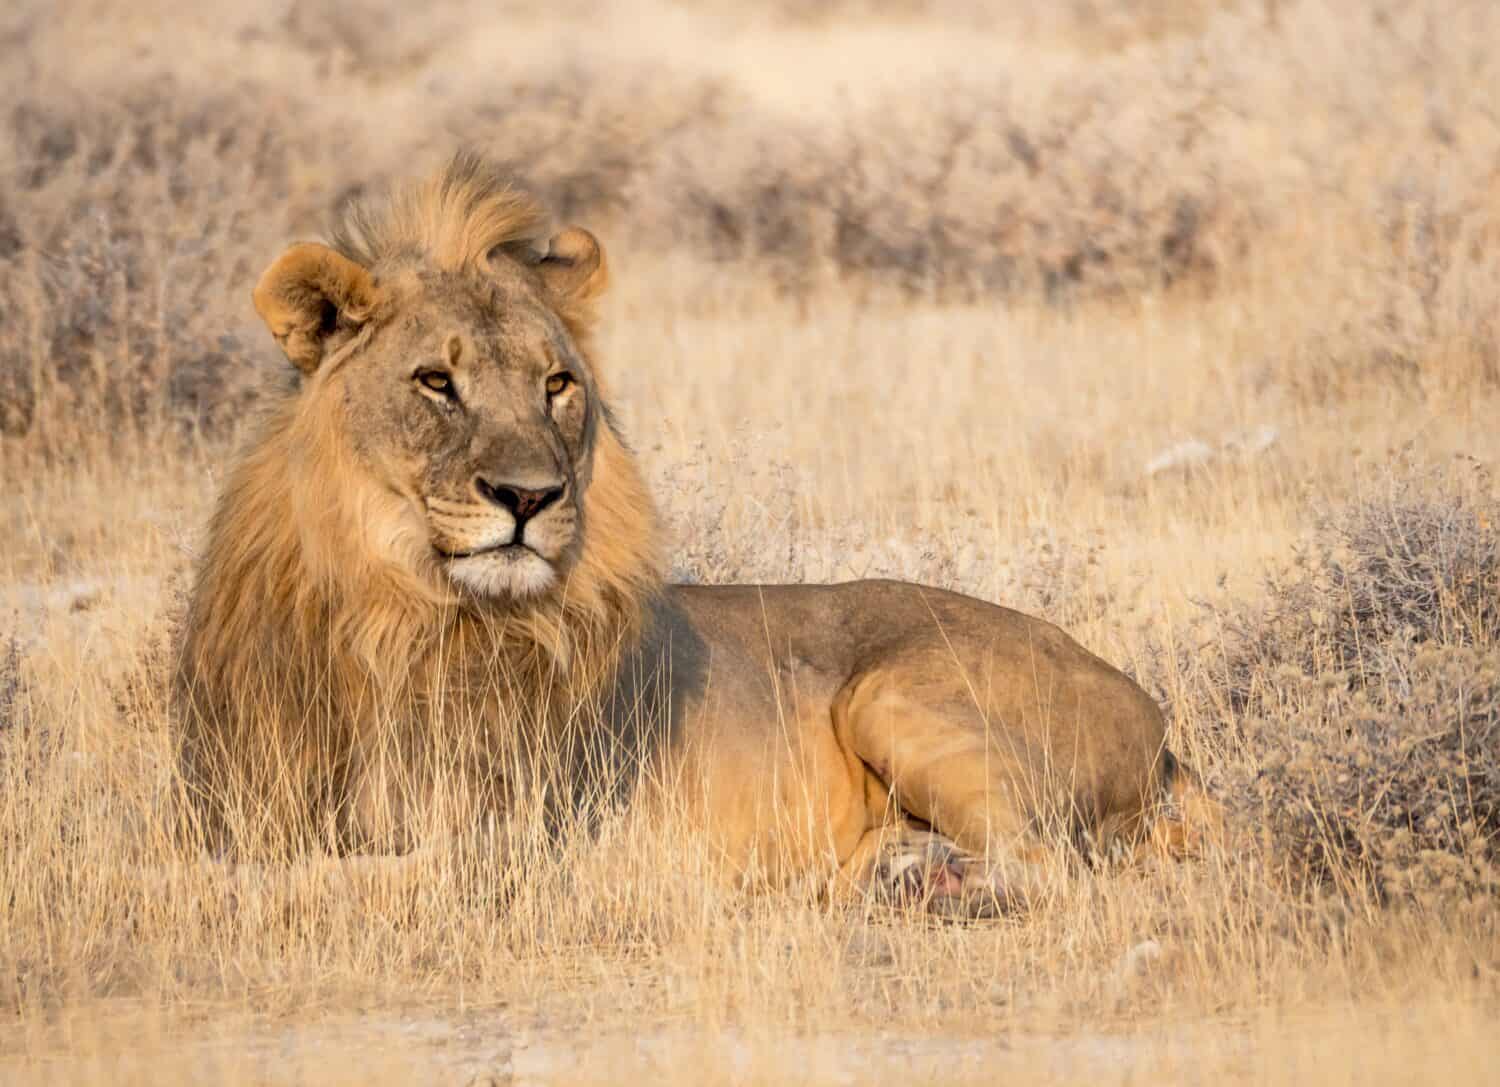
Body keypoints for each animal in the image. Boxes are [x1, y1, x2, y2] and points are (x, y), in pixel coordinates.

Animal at [173, 152, 1218, 914]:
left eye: (556, 384)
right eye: (437, 381)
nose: (530, 496)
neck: (396, 611)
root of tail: (1154, 715)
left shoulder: (519, 841)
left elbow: (302, 878)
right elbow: (227, 860)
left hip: (894, 694)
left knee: (1057, 867)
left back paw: (924, 886)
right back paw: (894, 872)